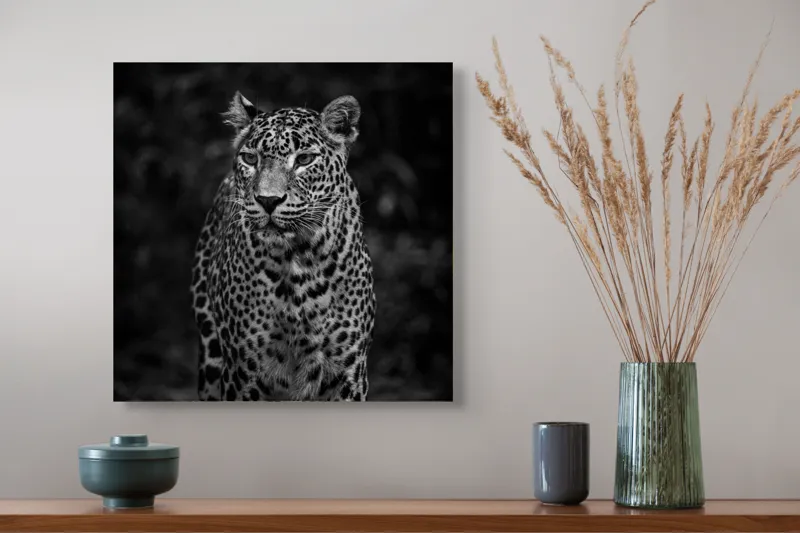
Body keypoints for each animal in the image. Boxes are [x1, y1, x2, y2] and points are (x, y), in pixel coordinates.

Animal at [190, 91, 376, 401]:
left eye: (304, 159)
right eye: (250, 158)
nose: (268, 200)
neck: (299, 257)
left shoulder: (349, 372)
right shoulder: (244, 374)